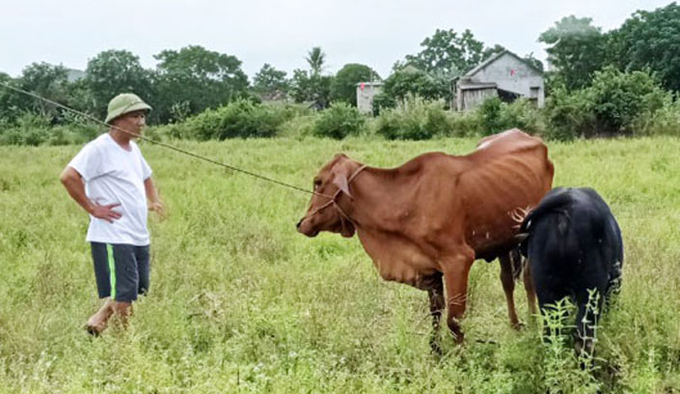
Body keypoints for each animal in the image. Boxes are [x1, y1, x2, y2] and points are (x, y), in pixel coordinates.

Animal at [296, 129, 552, 348]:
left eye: (318, 182)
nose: (301, 223)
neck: (405, 201)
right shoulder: (429, 267)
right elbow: (436, 313)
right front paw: (435, 350)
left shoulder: (458, 261)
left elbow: (454, 320)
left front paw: (460, 358)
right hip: (502, 241)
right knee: (507, 280)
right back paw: (515, 325)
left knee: (528, 278)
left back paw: (533, 323)